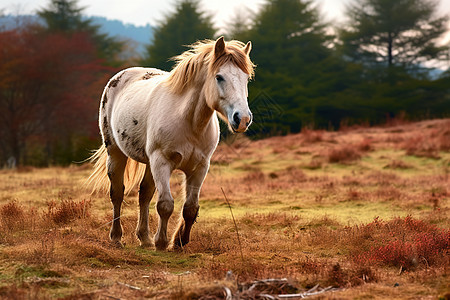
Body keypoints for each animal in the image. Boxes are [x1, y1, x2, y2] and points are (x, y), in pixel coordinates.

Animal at [88, 36, 255, 250]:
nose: (242, 119)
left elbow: (190, 208)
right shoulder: (161, 162)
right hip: (116, 153)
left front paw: (179, 242)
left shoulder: (200, 167)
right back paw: (117, 237)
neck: (189, 121)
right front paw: (161, 242)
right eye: (219, 77)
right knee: (117, 193)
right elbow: (165, 205)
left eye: (246, 78)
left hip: (149, 163)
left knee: (144, 194)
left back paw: (144, 238)